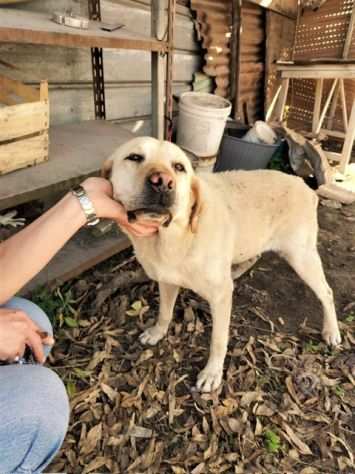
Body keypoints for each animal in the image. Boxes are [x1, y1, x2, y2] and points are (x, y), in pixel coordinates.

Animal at [103, 135, 342, 390]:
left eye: (179, 167)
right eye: (134, 157)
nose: (163, 182)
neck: (176, 238)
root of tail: (304, 184)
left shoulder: (220, 298)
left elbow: (218, 340)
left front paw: (212, 373)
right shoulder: (167, 281)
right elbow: (164, 313)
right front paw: (158, 332)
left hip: (301, 257)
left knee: (327, 292)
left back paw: (332, 331)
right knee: (254, 256)